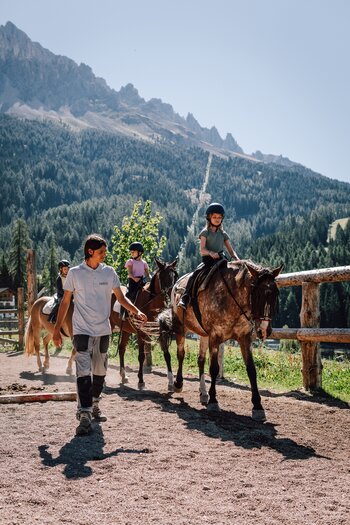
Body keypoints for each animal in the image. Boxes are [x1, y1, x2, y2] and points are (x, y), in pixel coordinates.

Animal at [111, 258, 179, 388]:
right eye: (163, 277)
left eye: (174, 276)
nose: (172, 295)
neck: (150, 303)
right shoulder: (141, 332)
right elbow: (141, 356)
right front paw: (141, 381)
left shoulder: (160, 332)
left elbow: (167, 354)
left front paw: (171, 381)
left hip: (126, 330)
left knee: (121, 349)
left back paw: (124, 376)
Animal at [159, 260, 282, 420]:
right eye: (257, 295)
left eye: (276, 294)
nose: (264, 330)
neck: (232, 299)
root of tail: (176, 285)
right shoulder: (215, 337)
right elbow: (214, 369)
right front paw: (213, 400)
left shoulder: (244, 338)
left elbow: (251, 369)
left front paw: (257, 406)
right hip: (181, 328)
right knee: (180, 354)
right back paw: (178, 384)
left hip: (203, 334)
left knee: (200, 360)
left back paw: (203, 392)